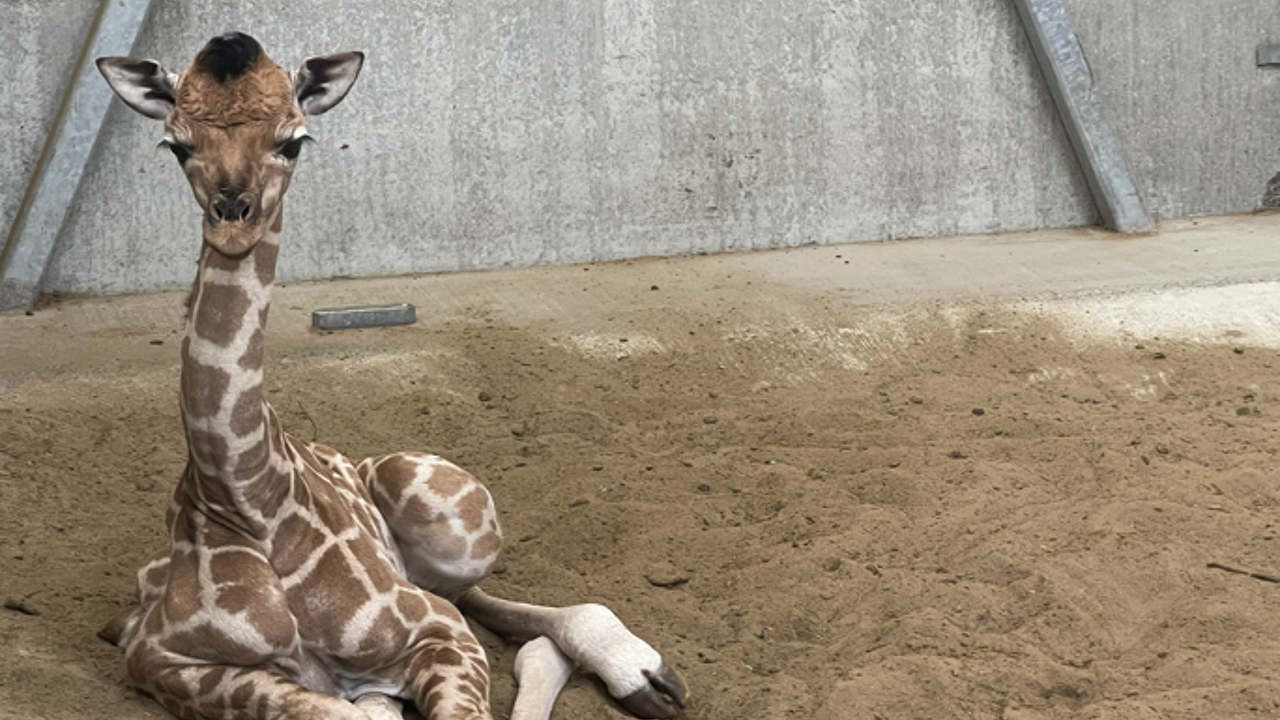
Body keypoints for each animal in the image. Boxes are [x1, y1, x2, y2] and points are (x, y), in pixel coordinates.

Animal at [97, 29, 691, 717]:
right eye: (176, 144)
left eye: (294, 140)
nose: (233, 223)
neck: (245, 494)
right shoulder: (161, 660)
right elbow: (329, 706)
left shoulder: (437, 630)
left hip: (452, 524)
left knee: (476, 597)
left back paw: (641, 672)